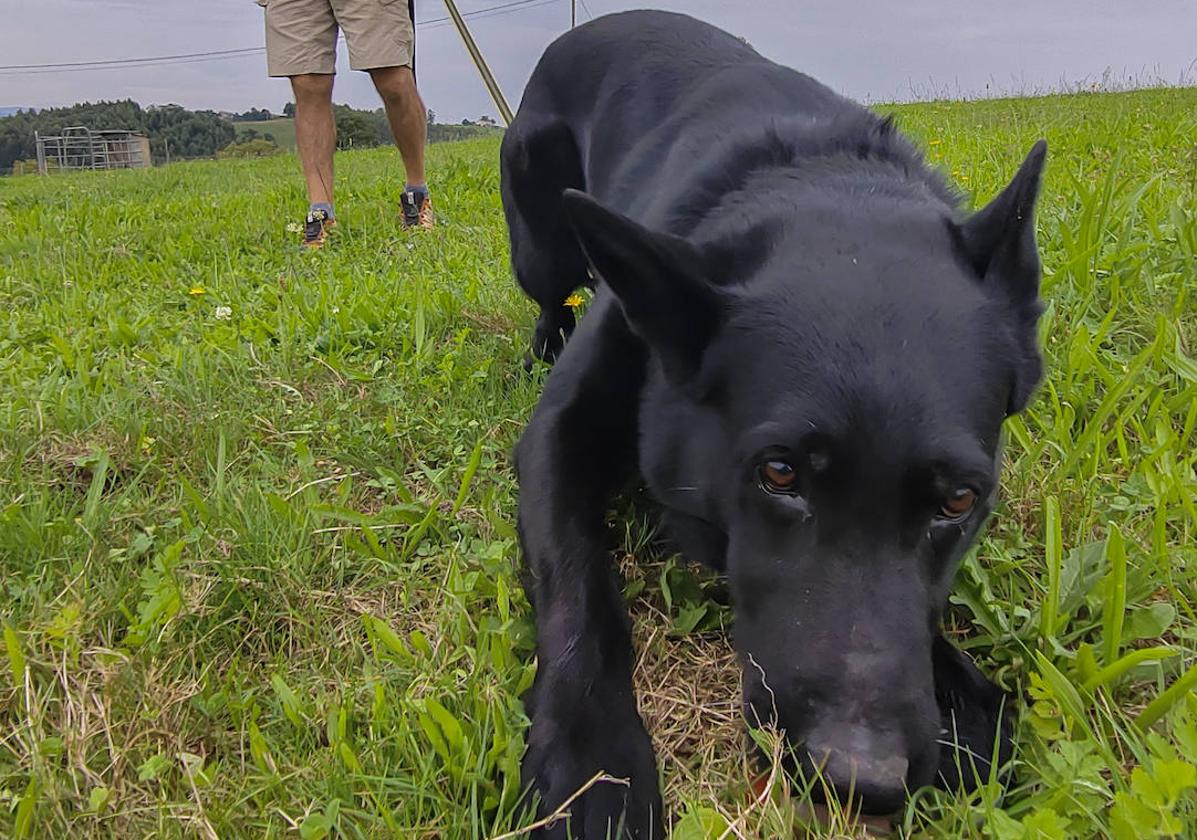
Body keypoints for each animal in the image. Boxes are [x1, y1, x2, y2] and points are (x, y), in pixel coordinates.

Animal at [500, 11, 1043, 837]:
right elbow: (577, 584)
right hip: (539, 240)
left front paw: (962, 698)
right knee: (548, 293)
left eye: (958, 501)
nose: (862, 779)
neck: (829, 183)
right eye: (779, 473)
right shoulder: (554, 441)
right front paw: (591, 764)